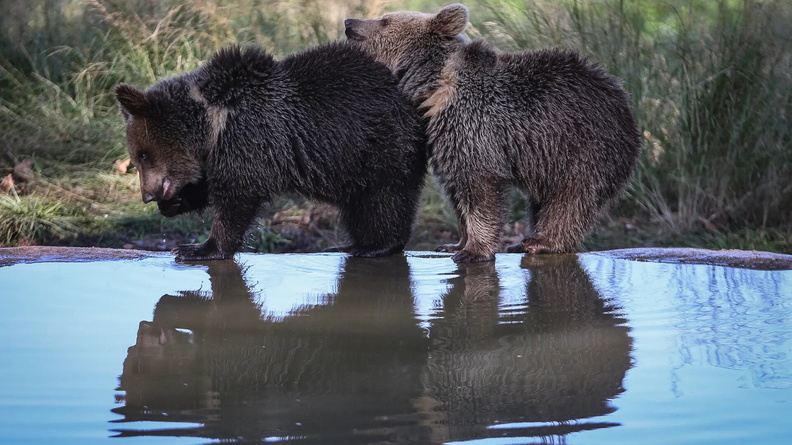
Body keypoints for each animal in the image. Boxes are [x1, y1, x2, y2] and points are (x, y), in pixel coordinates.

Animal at [116, 42, 427, 261]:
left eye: (142, 155)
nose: (147, 195)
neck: (212, 125)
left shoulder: (250, 140)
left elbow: (237, 199)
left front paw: (197, 248)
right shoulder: (224, 153)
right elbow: (213, 186)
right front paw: (176, 203)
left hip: (376, 145)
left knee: (381, 199)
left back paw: (373, 246)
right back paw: (352, 243)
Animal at [345, 4, 642, 262]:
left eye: (385, 20)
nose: (349, 23)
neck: (433, 87)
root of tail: (623, 99)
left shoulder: (473, 126)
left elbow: (479, 189)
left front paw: (473, 250)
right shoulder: (442, 139)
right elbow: (456, 191)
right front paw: (454, 243)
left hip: (582, 145)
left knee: (571, 198)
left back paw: (540, 241)